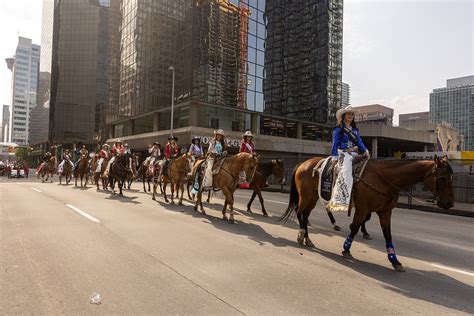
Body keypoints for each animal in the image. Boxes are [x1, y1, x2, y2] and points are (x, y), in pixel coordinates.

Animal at [282, 156, 456, 272]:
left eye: (451, 177)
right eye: (442, 178)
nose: (449, 203)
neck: (385, 179)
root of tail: (303, 163)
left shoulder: (385, 212)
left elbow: (388, 235)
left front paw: (394, 260)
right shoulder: (363, 208)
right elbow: (354, 227)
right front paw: (346, 250)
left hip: (315, 196)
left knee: (305, 215)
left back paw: (308, 239)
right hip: (306, 195)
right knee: (300, 212)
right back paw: (302, 235)